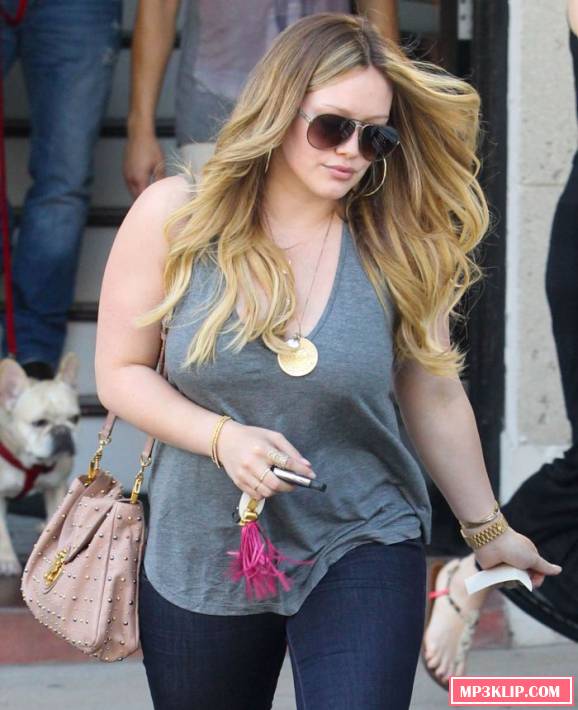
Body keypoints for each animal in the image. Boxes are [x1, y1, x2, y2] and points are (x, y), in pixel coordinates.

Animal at [0, 353, 80, 576]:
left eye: (75, 418)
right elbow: (1, 532)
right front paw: (7, 560)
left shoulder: (55, 487)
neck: (28, 461)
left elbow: (58, 517)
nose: (62, 431)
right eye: (39, 423)